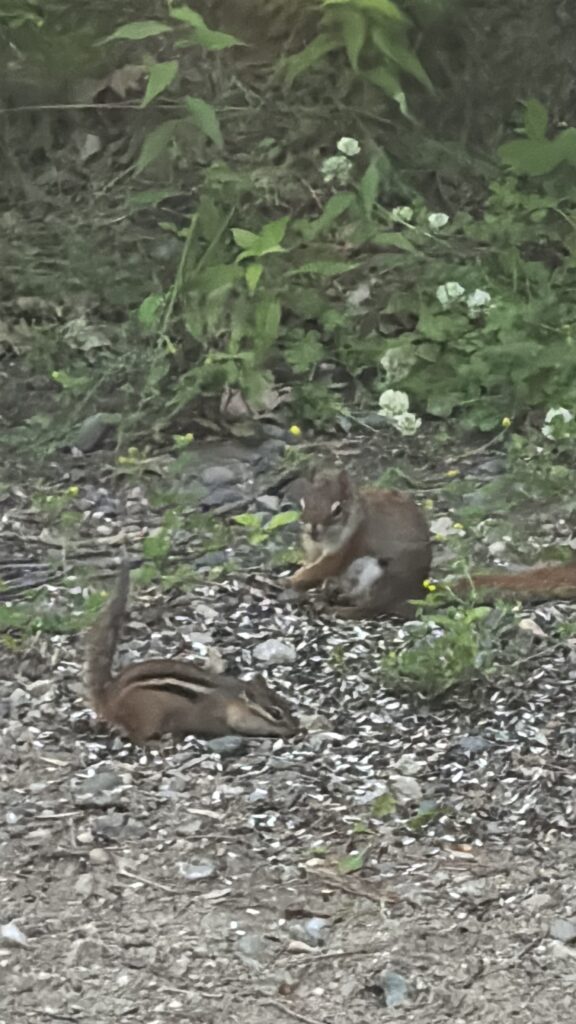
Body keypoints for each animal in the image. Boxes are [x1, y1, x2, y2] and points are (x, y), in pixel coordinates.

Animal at [86, 562, 299, 744]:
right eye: (275, 713)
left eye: (286, 703)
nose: (295, 730)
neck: (230, 699)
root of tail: (108, 698)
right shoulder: (213, 719)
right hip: (146, 717)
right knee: (136, 736)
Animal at [284, 468, 576, 619]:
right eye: (304, 503)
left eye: (337, 510)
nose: (311, 528)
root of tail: (415, 594)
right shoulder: (314, 550)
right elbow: (314, 566)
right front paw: (301, 579)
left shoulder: (350, 545)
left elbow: (325, 567)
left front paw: (292, 581)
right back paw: (331, 597)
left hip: (378, 574)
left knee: (372, 608)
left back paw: (339, 610)